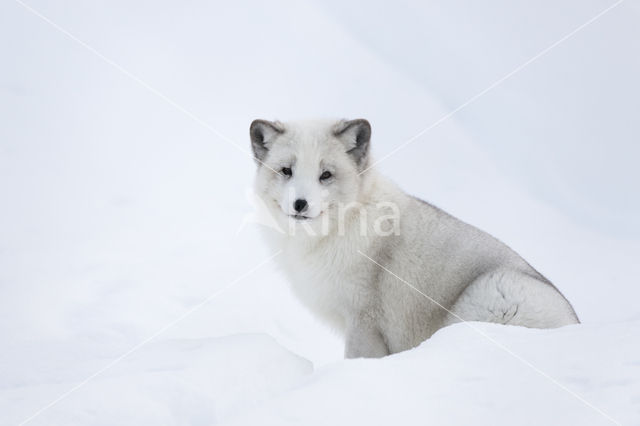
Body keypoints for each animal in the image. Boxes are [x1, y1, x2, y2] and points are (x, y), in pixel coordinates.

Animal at [250, 118, 580, 358]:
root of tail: (576, 327)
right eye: (286, 171)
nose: (300, 204)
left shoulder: (364, 322)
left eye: (326, 175)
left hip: (485, 297)